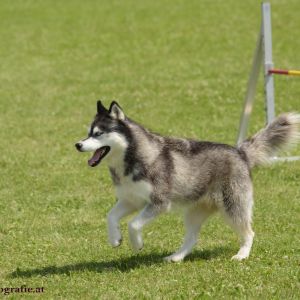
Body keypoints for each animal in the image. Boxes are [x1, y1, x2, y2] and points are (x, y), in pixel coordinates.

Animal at [75, 101, 300, 260]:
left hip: (233, 207)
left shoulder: (159, 203)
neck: (132, 158)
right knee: (192, 238)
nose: (77, 144)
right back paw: (176, 257)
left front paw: (136, 244)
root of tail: (240, 152)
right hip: (193, 212)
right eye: (88, 133)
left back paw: (242, 255)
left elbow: (134, 224)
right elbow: (110, 216)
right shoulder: (131, 200)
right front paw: (115, 239)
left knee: (249, 232)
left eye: (98, 134)